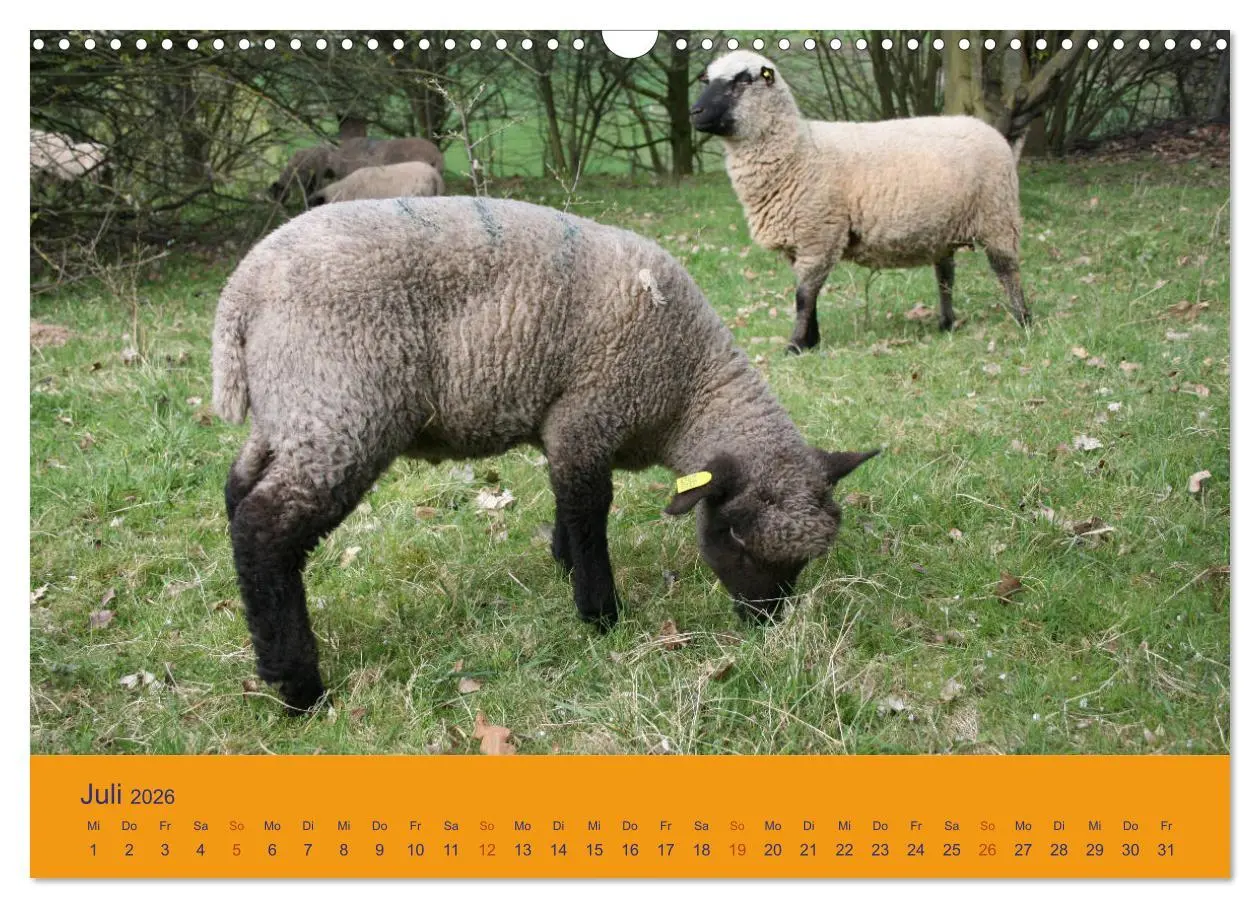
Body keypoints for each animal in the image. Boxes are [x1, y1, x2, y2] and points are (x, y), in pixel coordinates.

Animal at [212, 196, 878, 712]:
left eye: (802, 564)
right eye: (736, 535)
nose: (765, 623)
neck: (688, 387)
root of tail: (241, 292)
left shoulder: (565, 425)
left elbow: (569, 503)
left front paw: (563, 564)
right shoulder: (591, 410)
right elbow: (590, 511)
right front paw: (600, 613)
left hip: (292, 412)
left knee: (237, 493)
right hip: (341, 405)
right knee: (264, 528)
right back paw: (298, 688)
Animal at [690, 50, 1031, 352]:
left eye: (743, 80)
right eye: (707, 78)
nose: (694, 112)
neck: (799, 149)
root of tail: (989, 130)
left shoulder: (819, 234)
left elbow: (803, 296)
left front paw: (796, 345)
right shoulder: (800, 242)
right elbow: (809, 297)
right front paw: (811, 342)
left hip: (998, 215)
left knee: (1007, 269)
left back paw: (1023, 320)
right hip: (944, 229)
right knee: (945, 276)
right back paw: (946, 323)